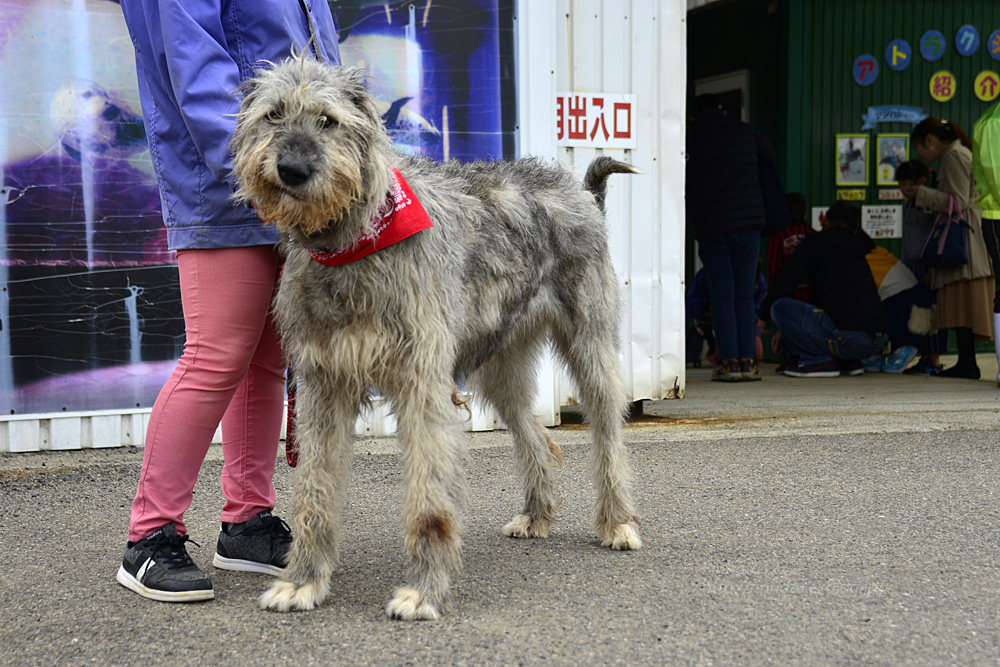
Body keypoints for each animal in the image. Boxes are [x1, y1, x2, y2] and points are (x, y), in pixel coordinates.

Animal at [229, 54, 640, 624]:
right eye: (272, 114)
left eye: (328, 120)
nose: (291, 170)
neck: (354, 242)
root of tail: (582, 193)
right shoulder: (323, 385)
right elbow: (313, 490)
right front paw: (303, 580)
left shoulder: (421, 382)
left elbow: (429, 500)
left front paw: (423, 591)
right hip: (500, 364)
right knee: (534, 433)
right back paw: (537, 513)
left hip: (591, 346)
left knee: (608, 433)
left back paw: (618, 521)